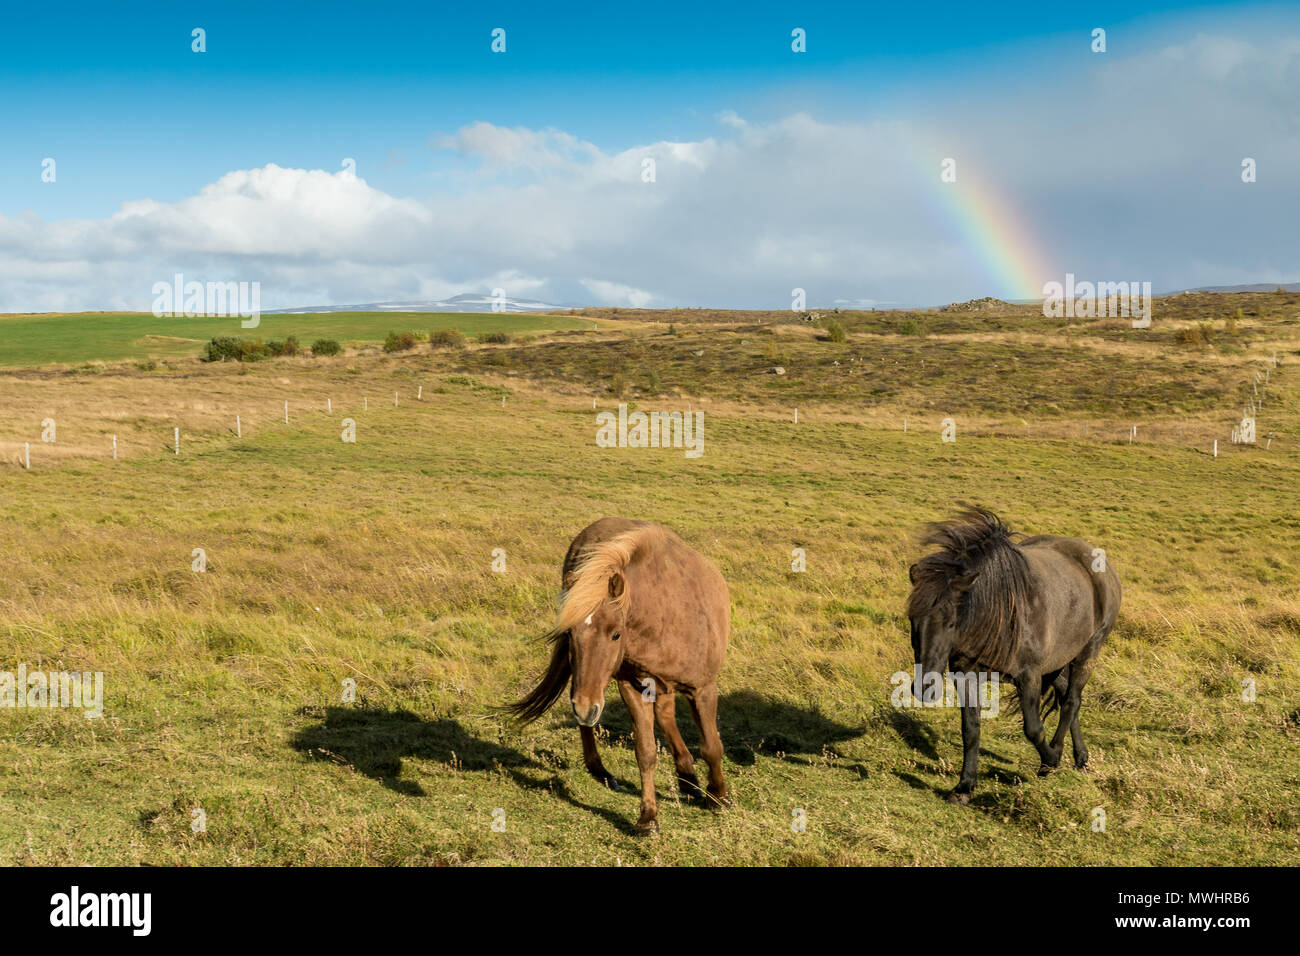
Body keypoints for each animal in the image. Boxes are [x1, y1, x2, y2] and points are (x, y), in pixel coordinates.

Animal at [506, 520, 733, 832]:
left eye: (615, 634)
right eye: (570, 634)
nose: (585, 708)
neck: (663, 614)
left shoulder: (703, 689)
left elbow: (711, 746)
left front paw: (719, 796)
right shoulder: (632, 687)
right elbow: (645, 752)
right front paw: (648, 817)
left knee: (666, 716)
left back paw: (688, 779)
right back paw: (601, 770)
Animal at [909, 512, 1123, 806]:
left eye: (951, 622)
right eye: (912, 620)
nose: (924, 687)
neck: (998, 612)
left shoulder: (1029, 676)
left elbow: (1033, 728)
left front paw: (1051, 760)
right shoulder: (966, 675)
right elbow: (970, 729)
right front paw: (964, 787)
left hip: (1089, 650)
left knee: (1071, 701)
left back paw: (1057, 755)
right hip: (1057, 662)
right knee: (1066, 698)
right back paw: (1081, 757)